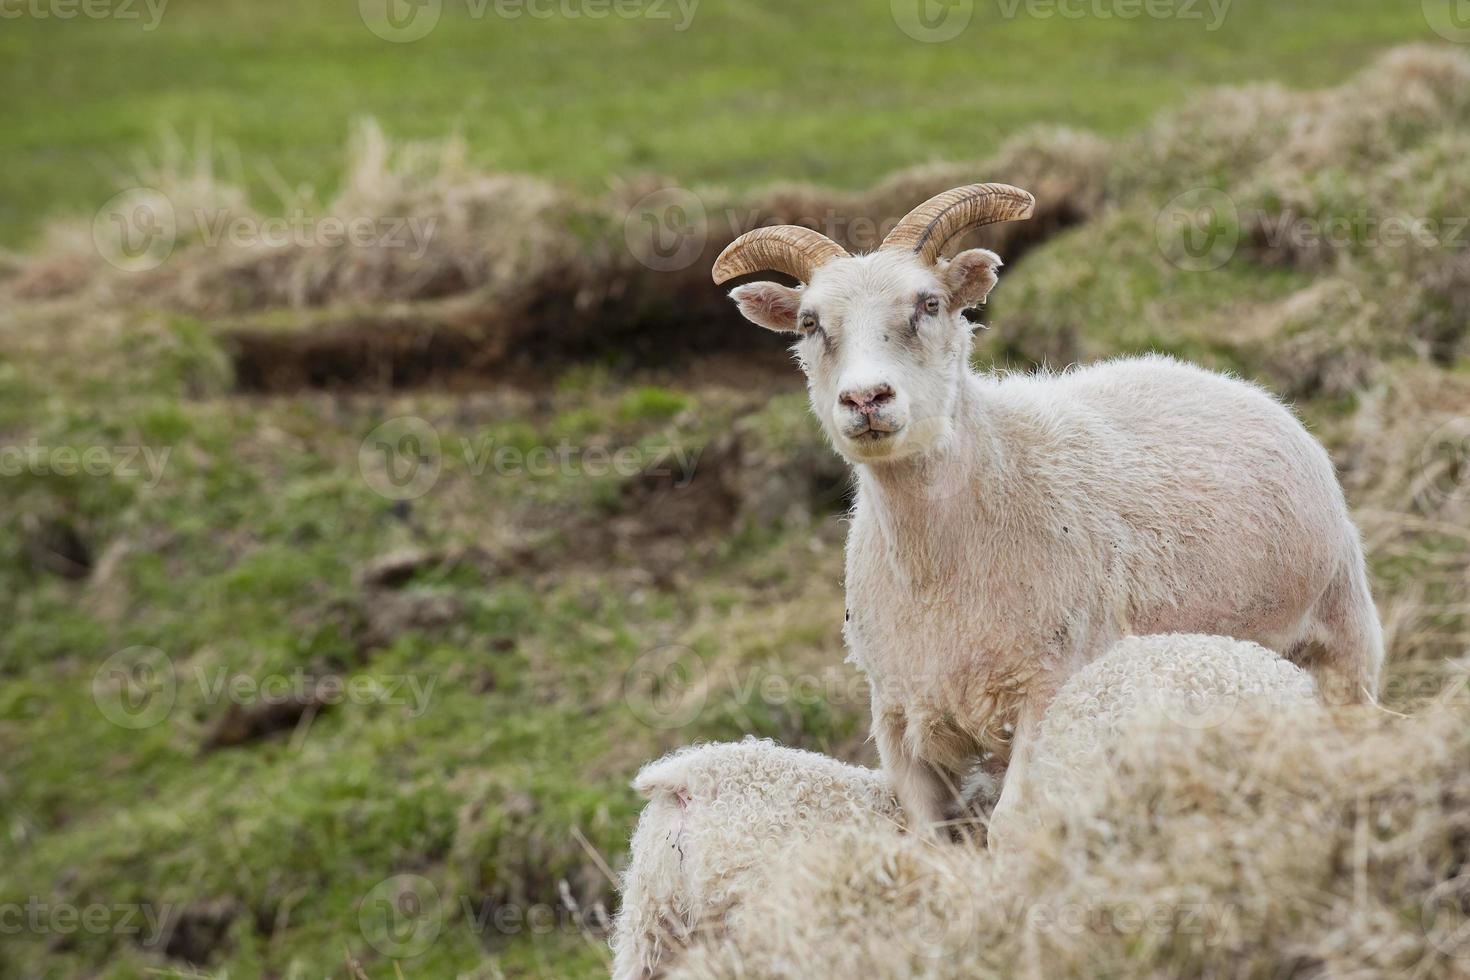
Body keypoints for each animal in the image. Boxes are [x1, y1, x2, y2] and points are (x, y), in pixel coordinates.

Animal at [717, 182, 1381, 834]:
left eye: (929, 304)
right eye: (809, 323)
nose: (866, 398)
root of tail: (1224, 380)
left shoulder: (1051, 688)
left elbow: (1012, 825)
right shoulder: (899, 719)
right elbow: (926, 838)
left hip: (1342, 629)